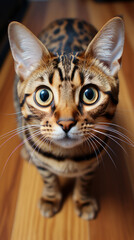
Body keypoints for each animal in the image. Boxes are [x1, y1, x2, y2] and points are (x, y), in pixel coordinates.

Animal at [7, 16, 124, 219]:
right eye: (43, 95)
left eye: (89, 94)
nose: (66, 123)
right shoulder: (43, 165)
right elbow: (48, 178)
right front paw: (51, 197)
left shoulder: (93, 163)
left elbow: (85, 180)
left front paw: (83, 200)